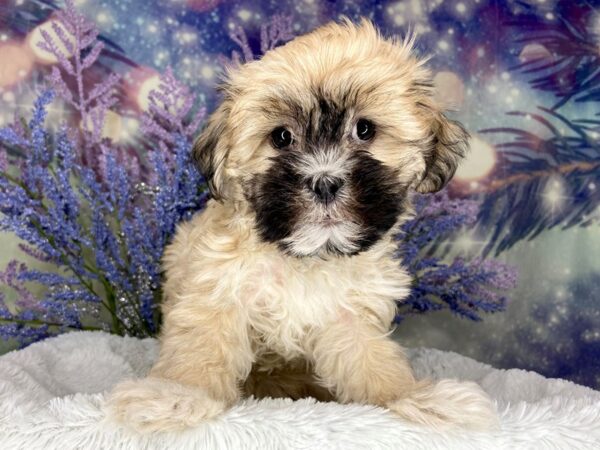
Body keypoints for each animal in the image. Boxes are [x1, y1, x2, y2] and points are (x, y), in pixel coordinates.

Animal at [106, 18, 496, 432]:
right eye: (281, 137)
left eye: (365, 130)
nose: (324, 183)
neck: (304, 258)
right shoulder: (217, 291)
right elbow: (201, 348)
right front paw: (176, 395)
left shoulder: (350, 315)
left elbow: (373, 363)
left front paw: (412, 397)